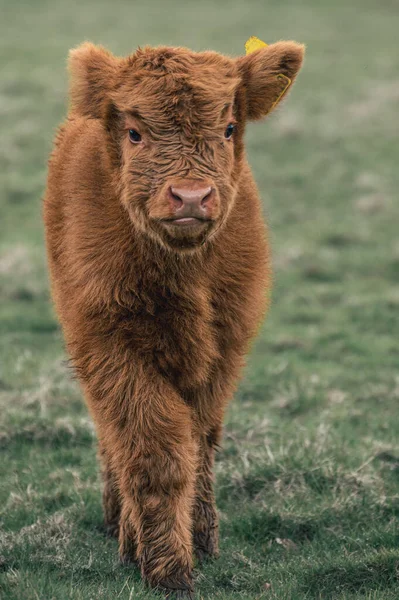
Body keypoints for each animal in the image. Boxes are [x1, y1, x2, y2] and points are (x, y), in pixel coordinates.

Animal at [43, 39, 304, 596]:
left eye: (228, 127)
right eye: (135, 131)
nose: (190, 197)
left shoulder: (223, 350)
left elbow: (198, 445)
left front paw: (198, 543)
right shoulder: (111, 348)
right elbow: (155, 451)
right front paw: (163, 566)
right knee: (112, 440)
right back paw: (118, 525)